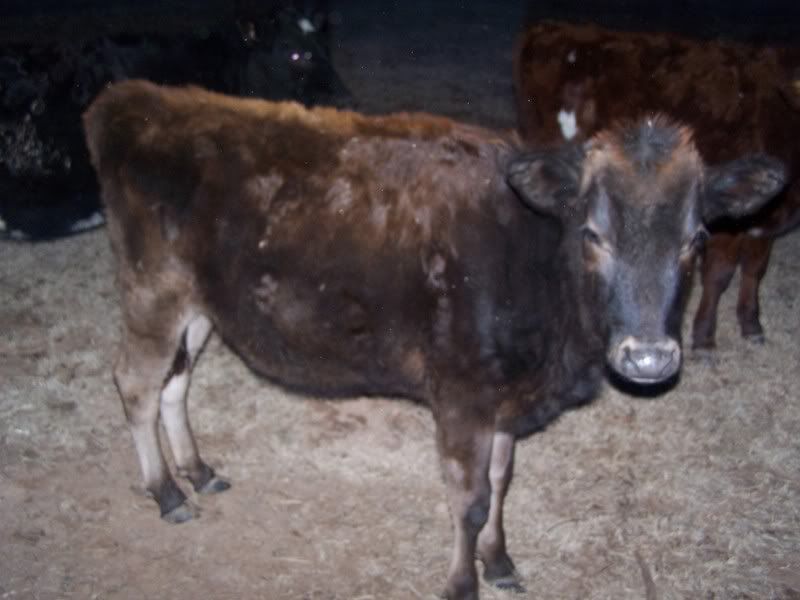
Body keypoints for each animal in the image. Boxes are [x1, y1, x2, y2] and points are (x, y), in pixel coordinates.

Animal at [83, 80, 784, 600]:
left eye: (697, 239)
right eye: (593, 234)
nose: (648, 357)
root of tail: (131, 97)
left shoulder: (504, 396)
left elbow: (502, 483)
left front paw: (499, 563)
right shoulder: (463, 394)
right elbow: (469, 499)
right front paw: (461, 583)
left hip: (200, 303)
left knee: (176, 382)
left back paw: (198, 471)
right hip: (153, 288)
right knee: (137, 384)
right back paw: (166, 492)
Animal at [513, 20, 800, 349]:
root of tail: (551, 26)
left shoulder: (765, 220)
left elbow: (755, 267)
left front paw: (752, 324)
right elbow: (719, 274)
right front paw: (704, 337)